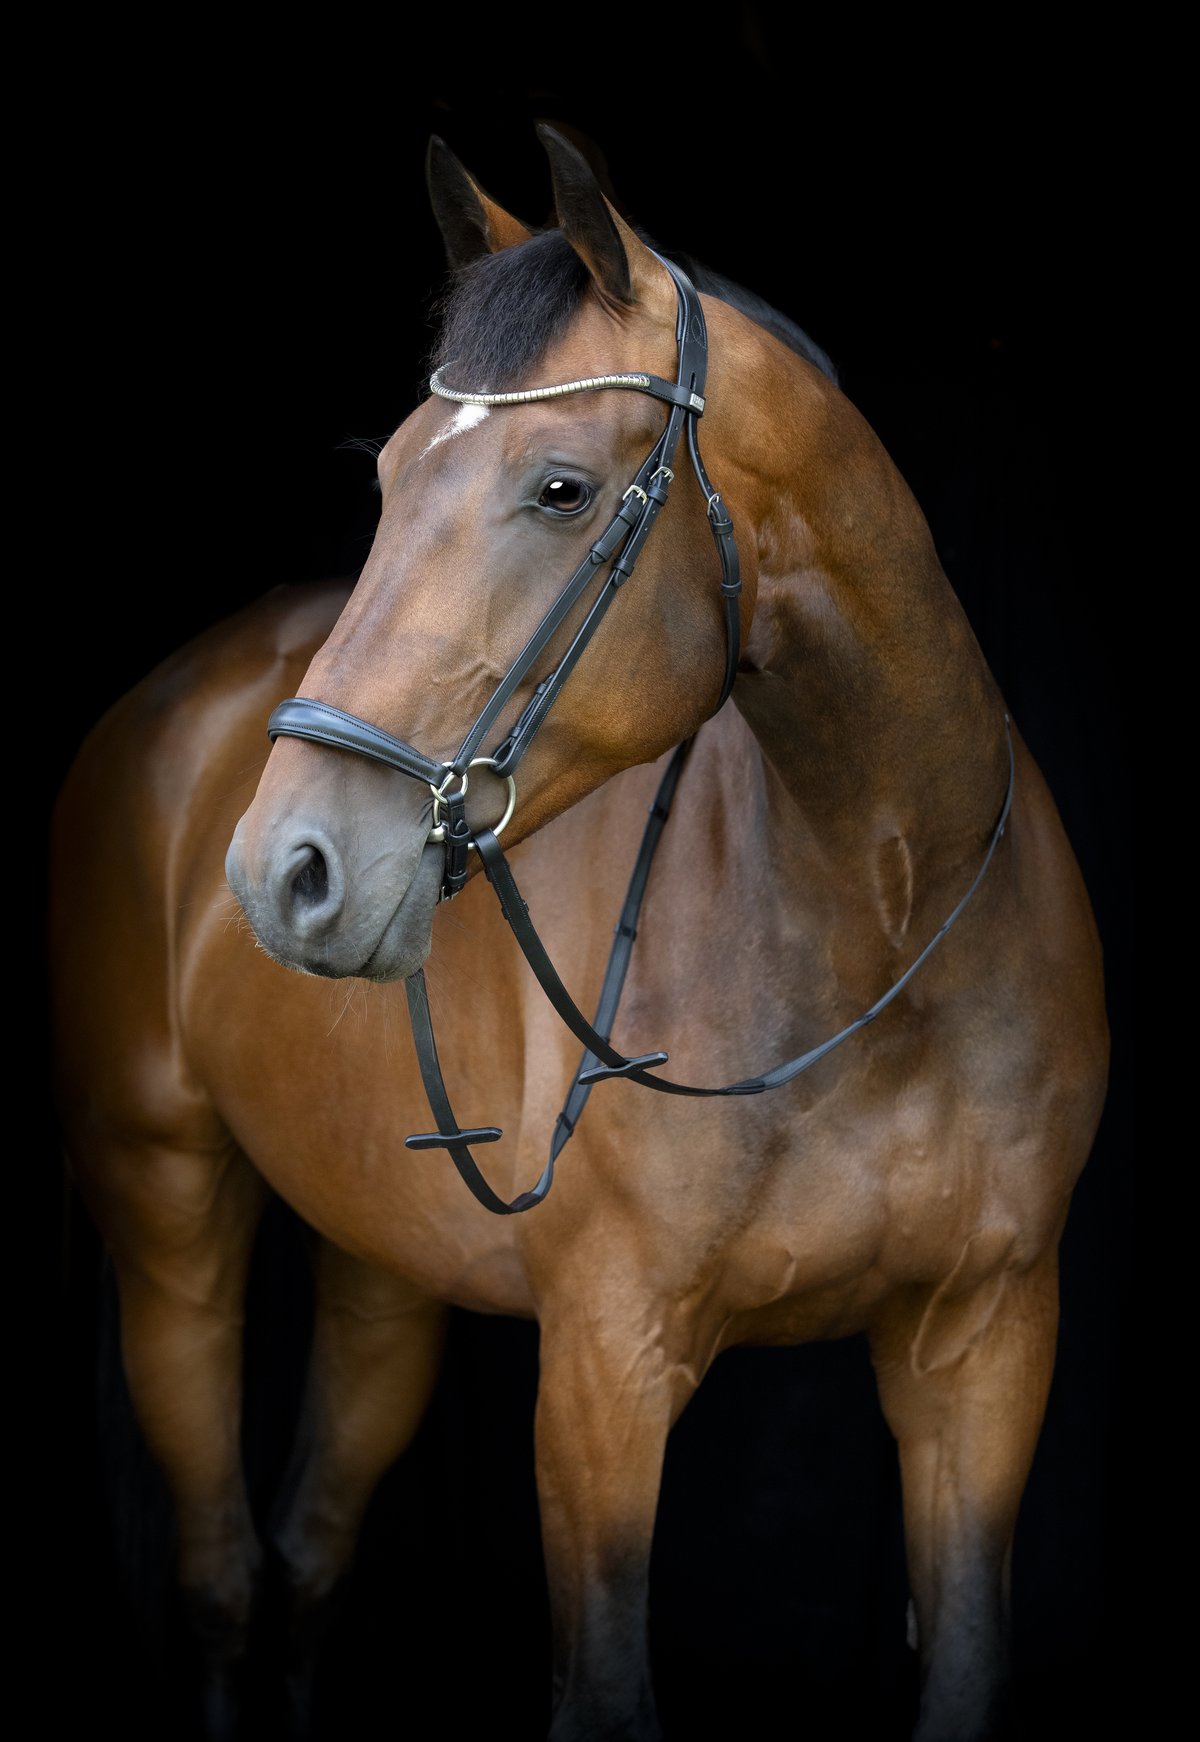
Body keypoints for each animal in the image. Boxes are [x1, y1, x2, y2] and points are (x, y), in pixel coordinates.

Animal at [48, 124, 1109, 1741]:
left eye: (558, 486)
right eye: (388, 476)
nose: (285, 870)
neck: (880, 916)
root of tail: (171, 703)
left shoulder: (985, 1348)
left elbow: (966, 1666)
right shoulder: (608, 1371)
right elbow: (603, 1687)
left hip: (381, 1260)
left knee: (307, 1554)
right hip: (168, 1206)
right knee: (224, 1576)